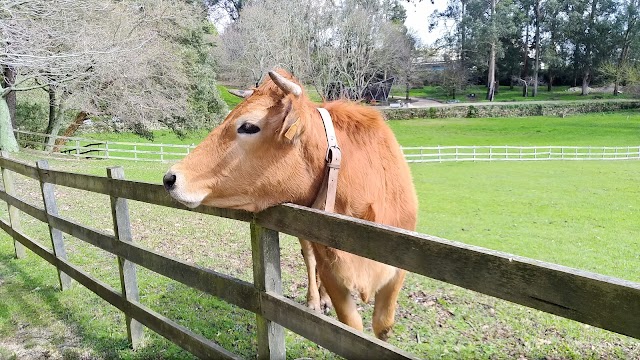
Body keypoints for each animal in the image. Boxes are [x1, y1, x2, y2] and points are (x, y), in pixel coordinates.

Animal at [162, 69, 418, 340]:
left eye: (248, 126)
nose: (170, 178)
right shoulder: (332, 272)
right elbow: (351, 326)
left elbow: (383, 326)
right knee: (310, 259)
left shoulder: (398, 270)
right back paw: (315, 300)